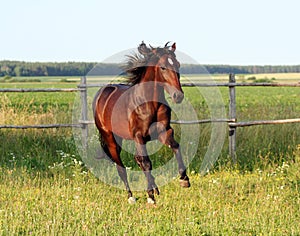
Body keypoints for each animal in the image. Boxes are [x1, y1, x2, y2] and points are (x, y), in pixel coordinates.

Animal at [92, 41, 190, 204]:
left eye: (178, 64)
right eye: (163, 67)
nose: (178, 96)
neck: (149, 103)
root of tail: (101, 94)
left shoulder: (163, 132)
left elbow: (175, 146)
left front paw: (184, 180)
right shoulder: (139, 137)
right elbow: (146, 162)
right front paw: (150, 196)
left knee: (137, 159)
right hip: (110, 138)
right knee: (121, 167)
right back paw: (131, 197)